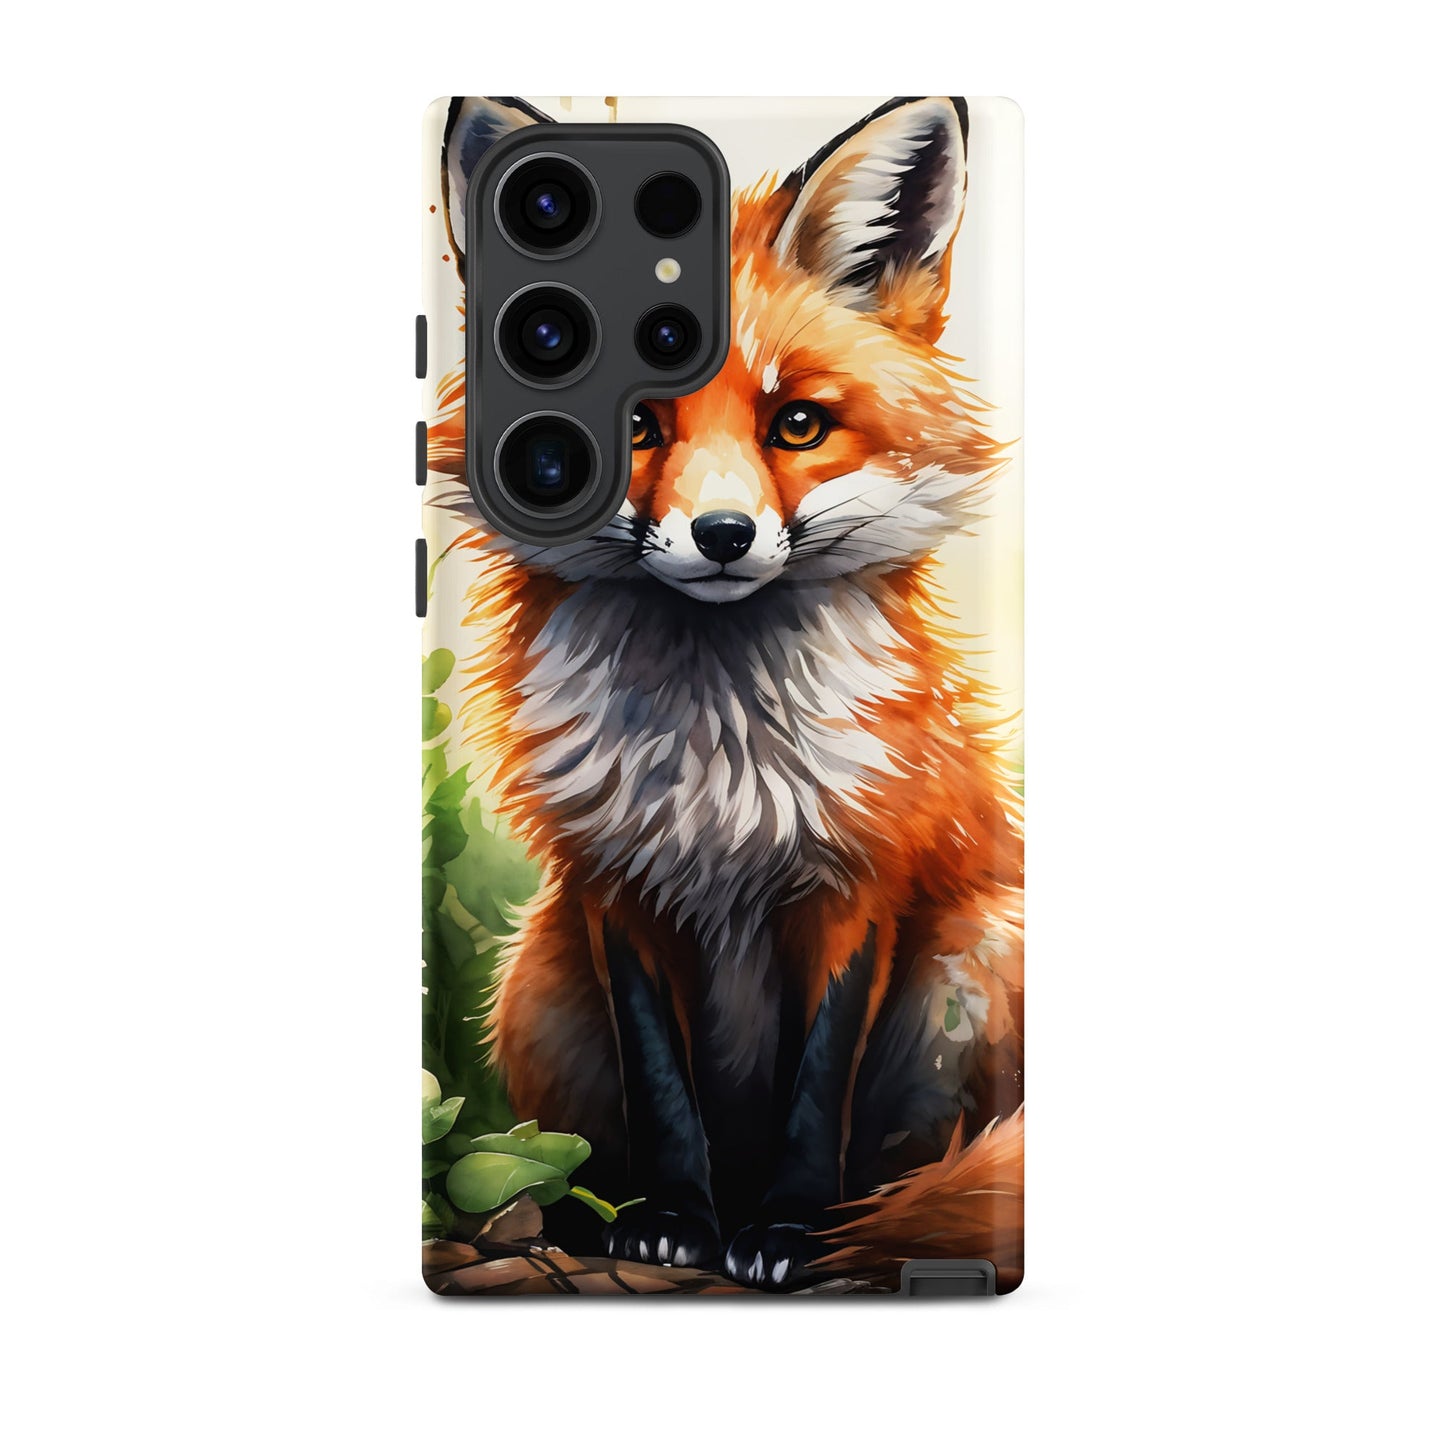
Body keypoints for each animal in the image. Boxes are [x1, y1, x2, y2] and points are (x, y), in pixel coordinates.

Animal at [428, 96, 1024, 1291]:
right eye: (634, 423)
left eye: (796, 423)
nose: (720, 535)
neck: (720, 766)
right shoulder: (614, 884)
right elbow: (663, 1089)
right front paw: (671, 1217)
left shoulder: (858, 880)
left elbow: (816, 1088)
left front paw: (787, 1231)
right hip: (536, 978)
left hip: (976, 955)